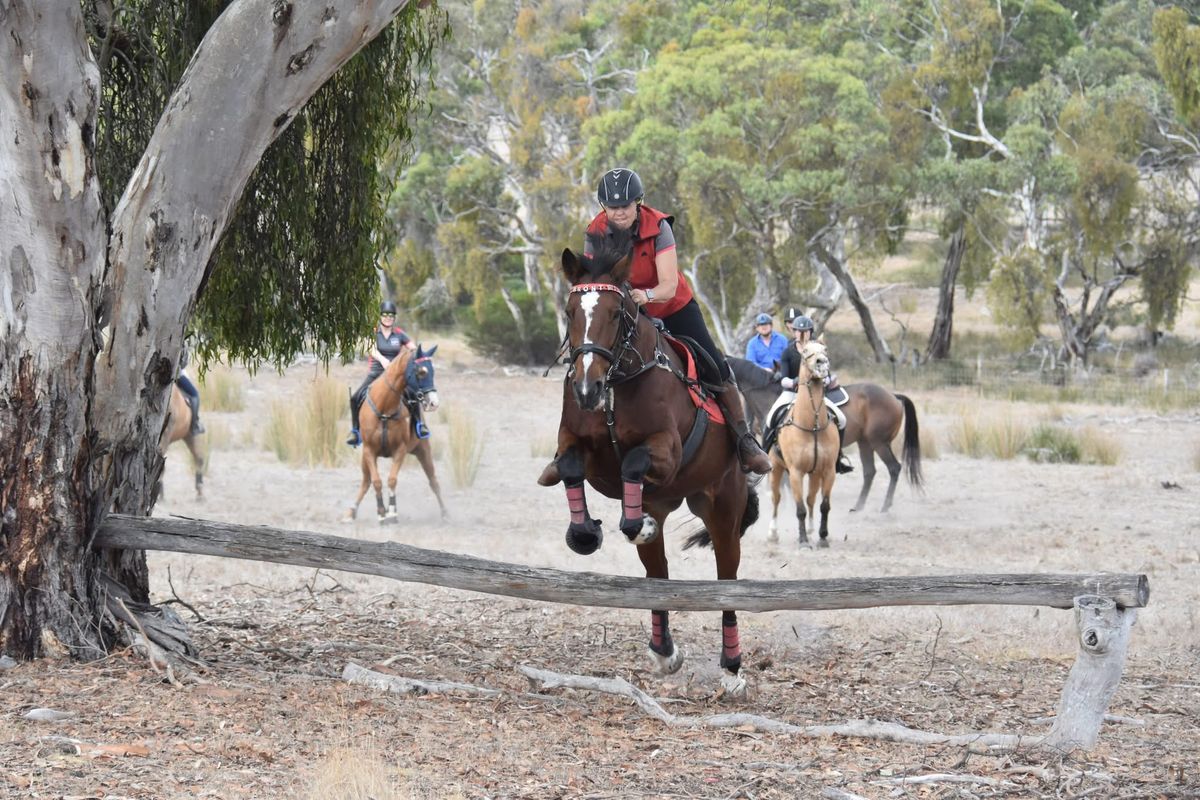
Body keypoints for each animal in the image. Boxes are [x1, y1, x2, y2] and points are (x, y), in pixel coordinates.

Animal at [345, 345, 448, 525]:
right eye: (421, 372)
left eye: (433, 371)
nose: (434, 403)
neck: (385, 407)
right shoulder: (369, 451)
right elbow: (377, 482)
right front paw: (381, 512)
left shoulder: (400, 450)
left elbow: (392, 480)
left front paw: (392, 512)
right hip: (365, 457)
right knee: (365, 482)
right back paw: (351, 512)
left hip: (423, 450)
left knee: (433, 481)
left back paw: (444, 513)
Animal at [537, 225, 753, 695]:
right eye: (570, 310)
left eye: (617, 312)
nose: (587, 388)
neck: (617, 380)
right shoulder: (577, 445)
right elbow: (570, 468)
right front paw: (585, 534)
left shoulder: (666, 451)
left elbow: (633, 462)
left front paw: (631, 525)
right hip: (665, 503)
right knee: (658, 575)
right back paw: (664, 651)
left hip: (723, 506)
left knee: (727, 580)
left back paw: (732, 667)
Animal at [724, 357, 921, 513]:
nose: (748, 424)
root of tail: (894, 396)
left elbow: (784, 480)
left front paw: (786, 505)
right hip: (864, 442)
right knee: (869, 472)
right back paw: (858, 506)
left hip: (879, 442)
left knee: (894, 468)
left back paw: (885, 506)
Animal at [763, 340, 840, 546]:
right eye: (806, 351)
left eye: (825, 349)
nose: (822, 363)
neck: (812, 426)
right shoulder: (795, 472)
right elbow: (800, 509)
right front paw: (804, 540)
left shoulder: (828, 471)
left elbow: (824, 505)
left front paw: (822, 537)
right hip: (776, 468)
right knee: (776, 498)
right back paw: (773, 533)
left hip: (814, 473)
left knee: (811, 498)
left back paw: (813, 529)